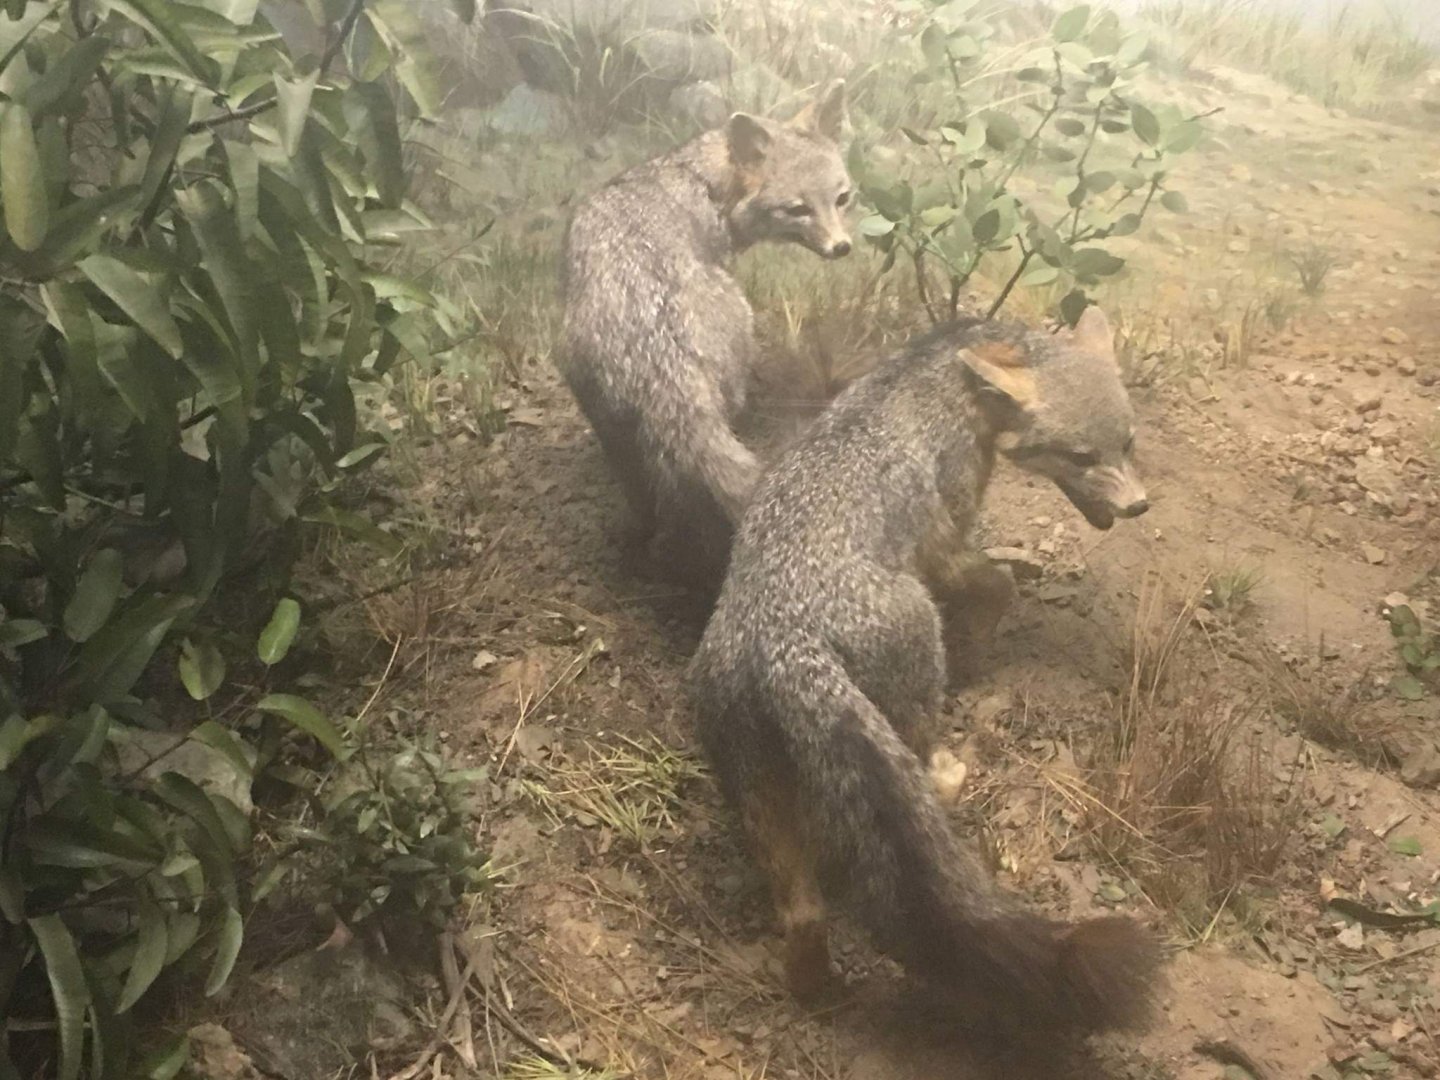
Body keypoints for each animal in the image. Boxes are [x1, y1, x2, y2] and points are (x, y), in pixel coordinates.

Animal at [559, 80, 854, 587]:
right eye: (797, 209)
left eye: (842, 199)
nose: (842, 247)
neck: (700, 182)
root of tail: (658, 352)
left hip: (603, 415)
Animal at [687, 306, 1158, 1040]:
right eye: (1081, 457)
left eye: (1129, 441)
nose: (1138, 506)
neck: (948, 371)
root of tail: (779, 636)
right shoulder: (944, 532)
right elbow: (997, 584)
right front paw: (979, 651)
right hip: (911, 663)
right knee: (917, 756)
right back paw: (946, 773)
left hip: (761, 792)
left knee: (804, 916)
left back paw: (814, 988)